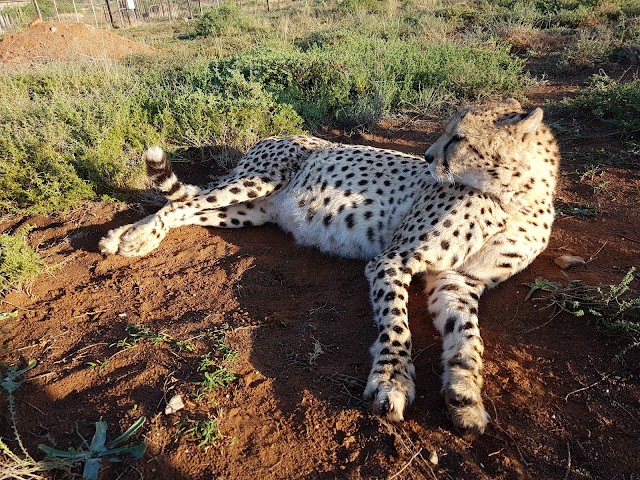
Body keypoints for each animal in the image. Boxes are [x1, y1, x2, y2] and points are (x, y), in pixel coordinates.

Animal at [99, 99, 560, 437]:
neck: (514, 197)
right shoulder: (393, 259)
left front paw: (466, 396)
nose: (428, 156)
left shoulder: (458, 281)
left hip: (249, 211)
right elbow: (396, 325)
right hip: (254, 181)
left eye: (458, 138)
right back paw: (131, 238)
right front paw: (392, 381)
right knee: (181, 202)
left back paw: (130, 236)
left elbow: (468, 337)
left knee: (190, 208)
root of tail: (273, 135)